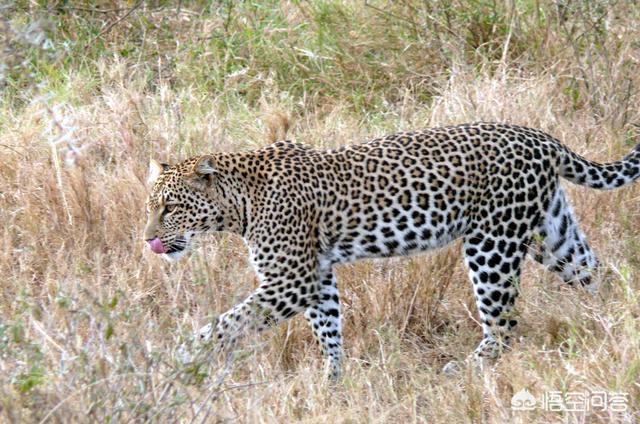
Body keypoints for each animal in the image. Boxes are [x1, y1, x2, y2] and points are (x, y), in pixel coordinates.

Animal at [145, 121, 640, 378]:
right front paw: (333, 382)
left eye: (171, 207)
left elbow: (229, 322)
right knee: (599, 274)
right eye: (151, 206)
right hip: (552, 234)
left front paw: (179, 357)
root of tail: (540, 137)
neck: (239, 204)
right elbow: (328, 330)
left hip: (492, 243)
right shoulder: (316, 277)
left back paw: (464, 369)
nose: (148, 240)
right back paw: (617, 327)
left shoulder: (290, 281)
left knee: (503, 324)